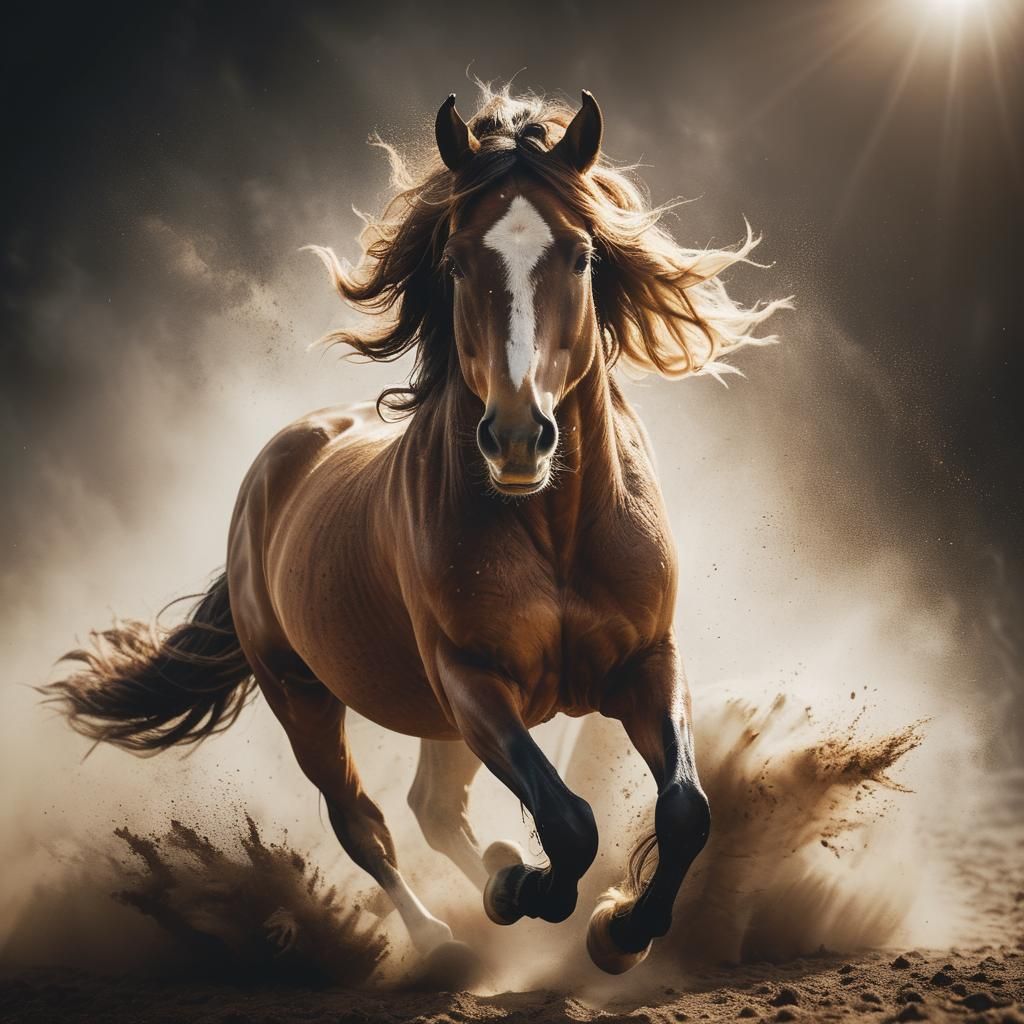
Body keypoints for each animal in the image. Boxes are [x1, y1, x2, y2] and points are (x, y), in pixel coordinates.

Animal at [46, 85, 786, 977]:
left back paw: (495, 880)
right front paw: (530, 890)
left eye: (580, 256)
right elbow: (568, 823)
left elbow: (684, 810)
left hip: (433, 720)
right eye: (458, 260)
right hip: (304, 696)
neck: (552, 532)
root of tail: (276, 469)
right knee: (363, 822)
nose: (516, 438)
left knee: (431, 806)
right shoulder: (472, 681)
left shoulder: (646, 661)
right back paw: (443, 939)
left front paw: (616, 933)